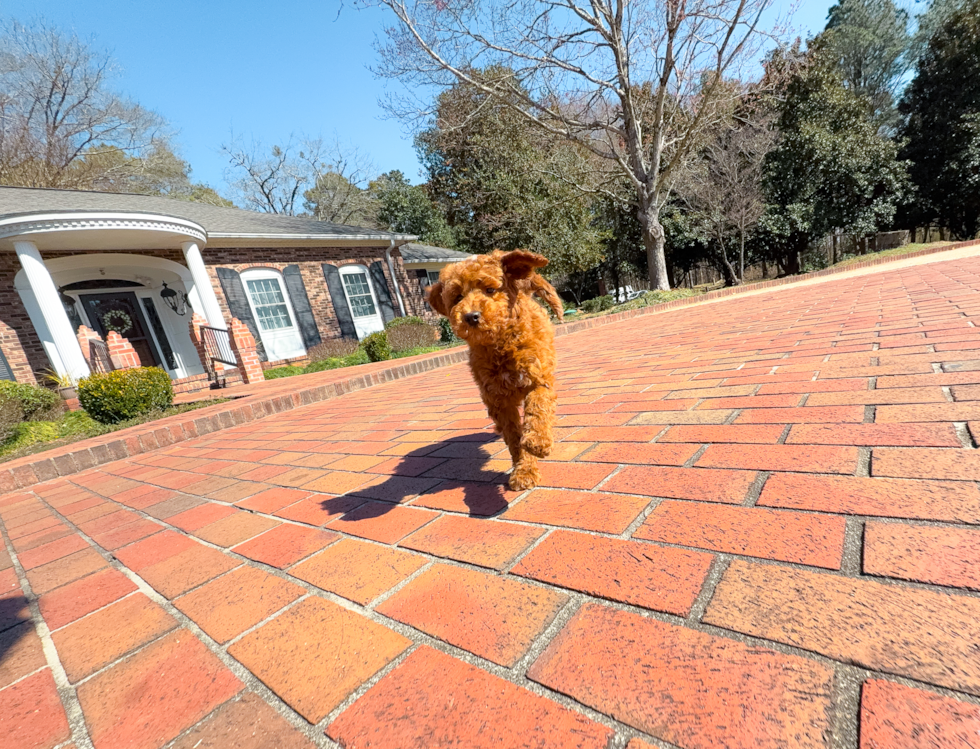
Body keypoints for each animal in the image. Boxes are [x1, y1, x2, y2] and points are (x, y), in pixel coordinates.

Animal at [426, 248, 564, 488]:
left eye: (490, 290)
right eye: (457, 297)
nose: (470, 316)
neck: (501, 344)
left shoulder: (538, 378)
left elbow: (538, 408)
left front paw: (537, 443)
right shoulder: (498, 400)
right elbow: (513, 437)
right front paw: (523, 469)